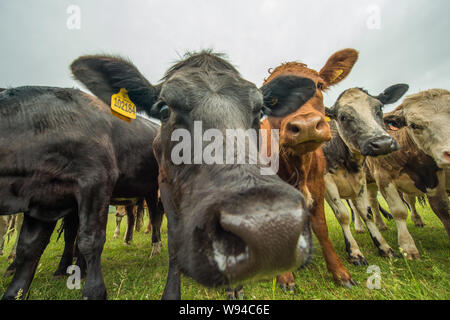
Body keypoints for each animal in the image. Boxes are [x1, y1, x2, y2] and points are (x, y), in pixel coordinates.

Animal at [260, 48, 358, 290]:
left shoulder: (318, 185)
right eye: (270, 99)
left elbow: (321, 227)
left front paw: (340, 272)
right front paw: (284, 277)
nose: (305, 126)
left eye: (319, 85)